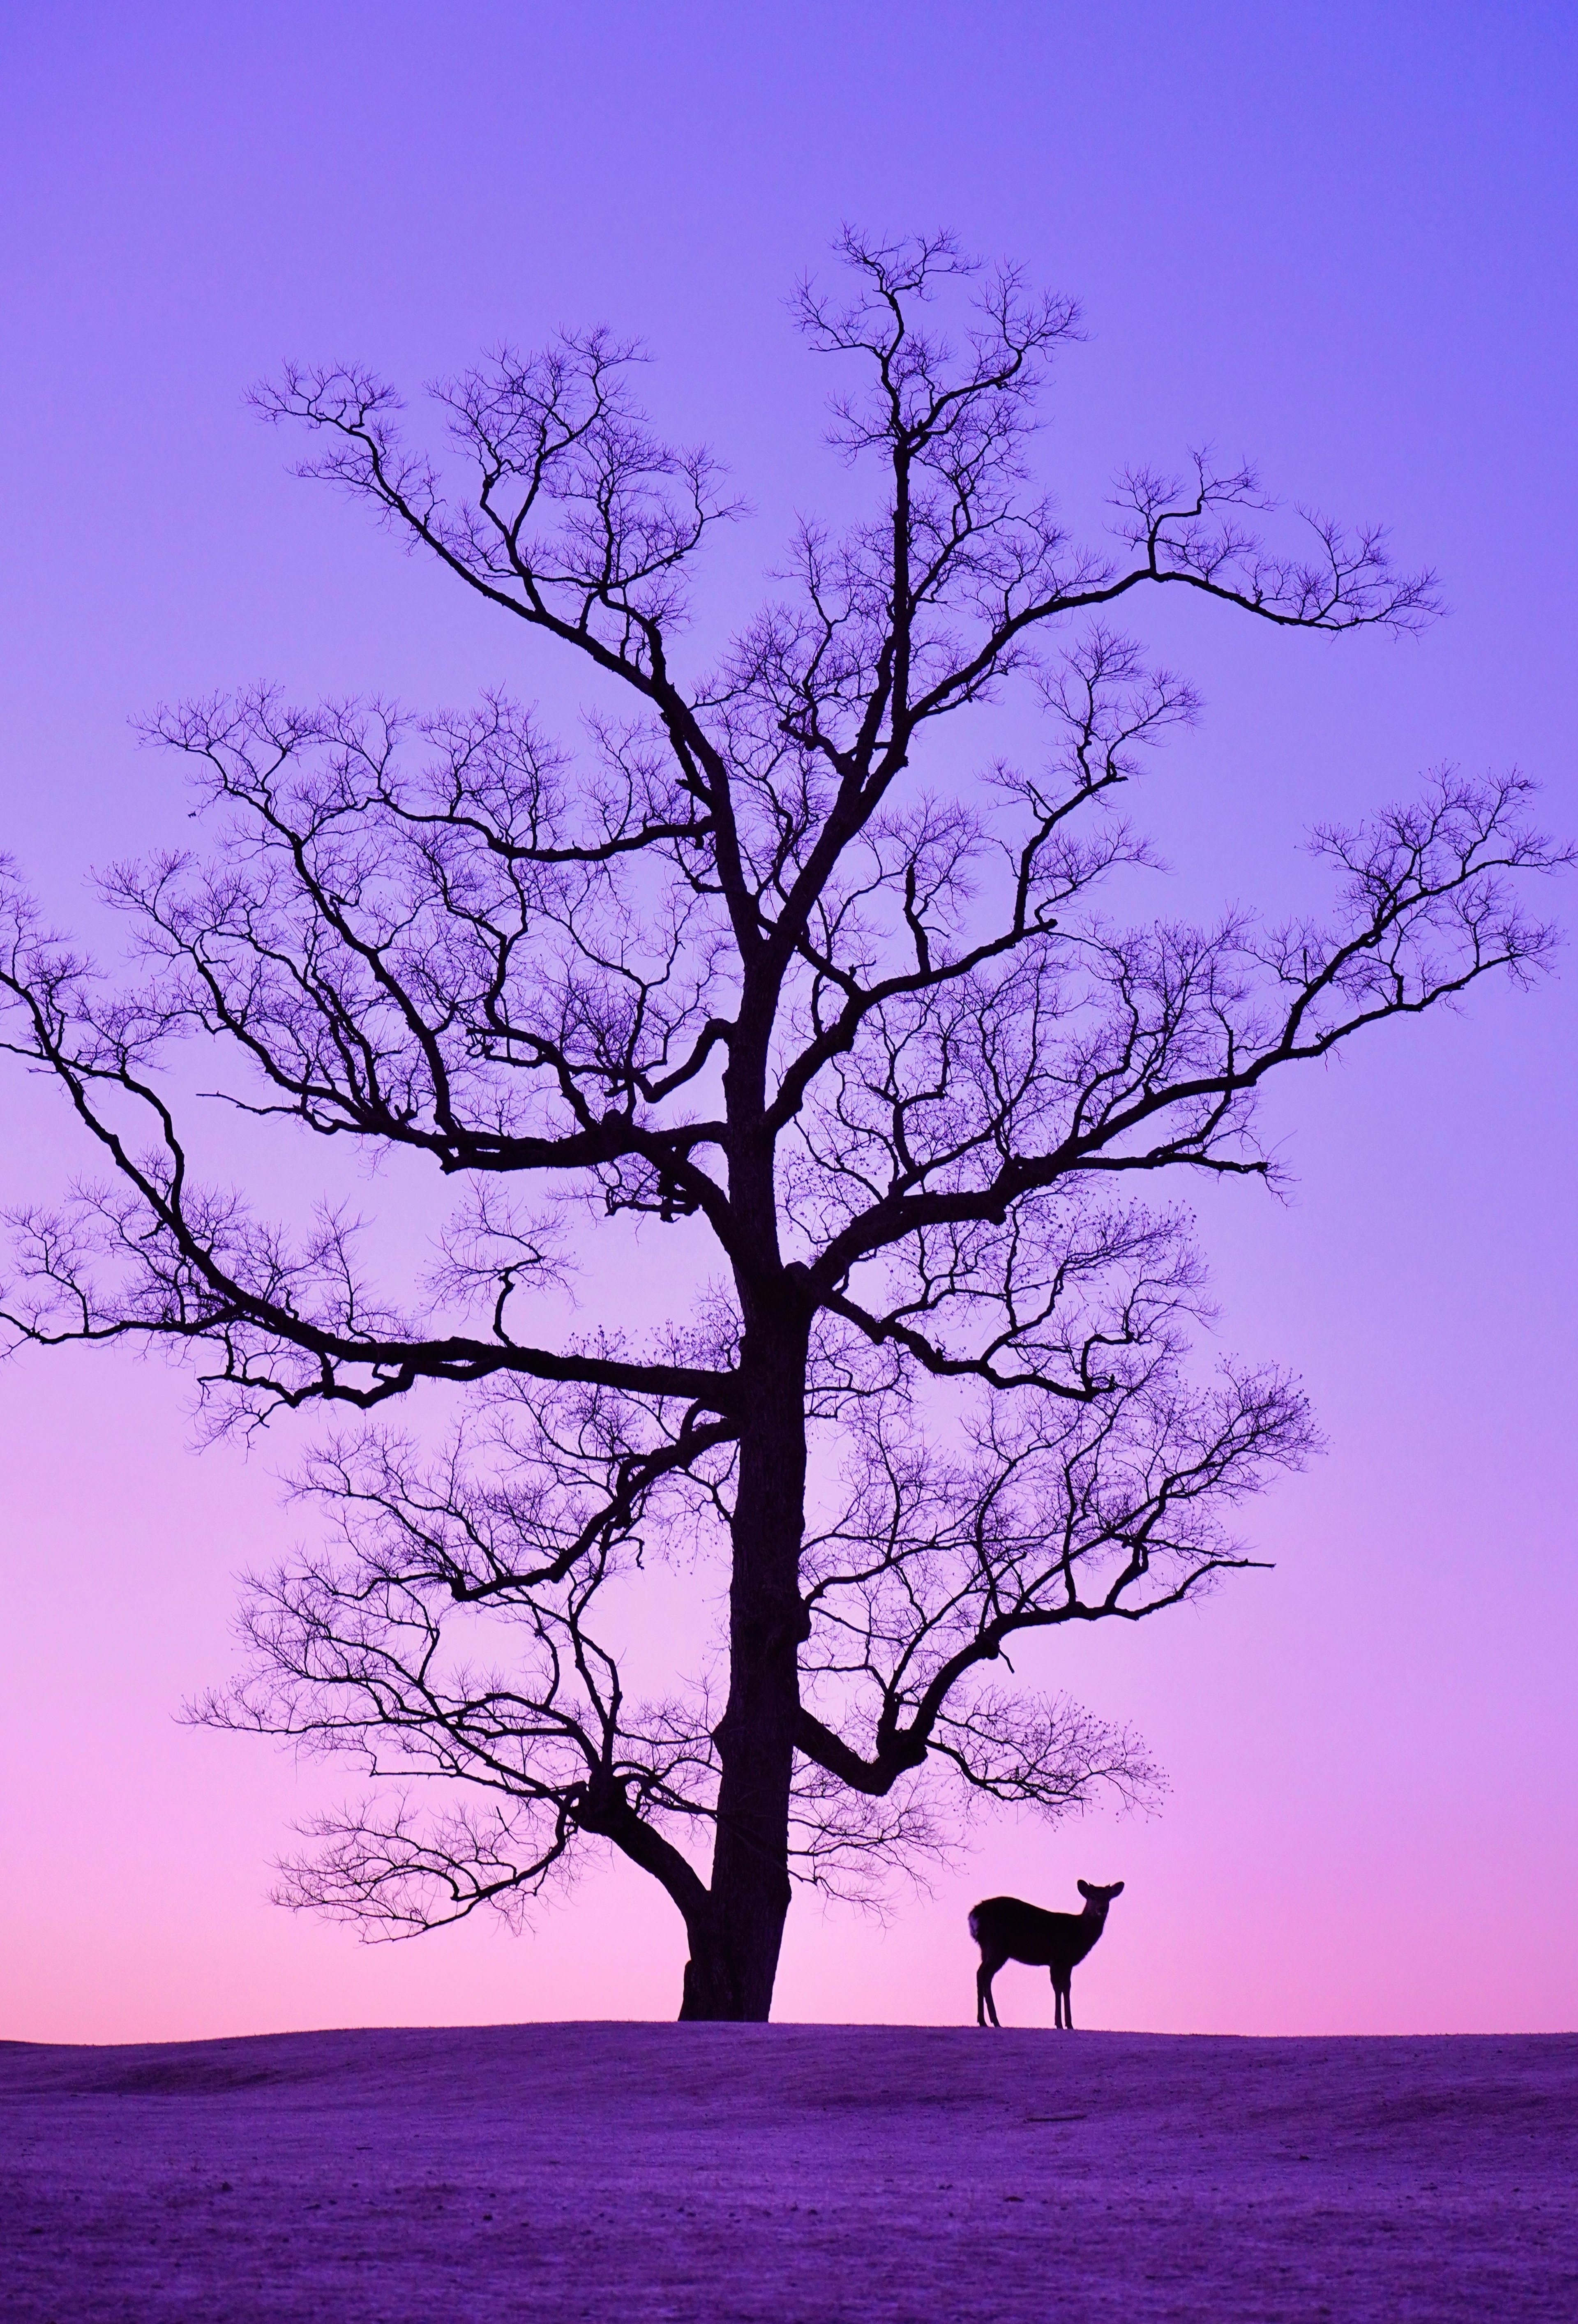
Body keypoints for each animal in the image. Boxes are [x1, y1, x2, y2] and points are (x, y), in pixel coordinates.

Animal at [962, 1878, 1125, 2027]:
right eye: (1092, 1896)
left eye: (1108, 1897)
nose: (1101, 1909)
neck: (1078, 1932)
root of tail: (974, 1915)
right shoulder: (1058, 1957)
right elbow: (1058, 1987)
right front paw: (1059, 2023)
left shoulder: (1068, 1963)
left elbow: (1067, 1987)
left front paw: (1069, 2024)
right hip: (997, 1947)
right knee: (984, 1975)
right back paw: (993, 2021)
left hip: (986, 1949)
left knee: (981, 1974)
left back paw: (984, 2020)